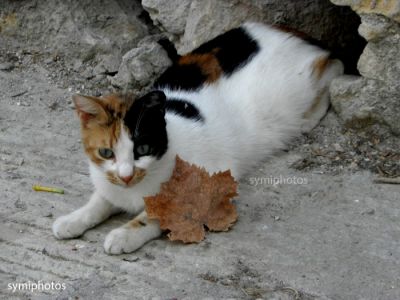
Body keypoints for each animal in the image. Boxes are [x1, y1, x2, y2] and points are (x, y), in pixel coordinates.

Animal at [51, 22, 342, 254]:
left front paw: (123, 234)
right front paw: (73, 219)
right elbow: (98, 201)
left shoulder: (204, 188)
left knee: (334, 68)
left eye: (142, 149)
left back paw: (310, 116)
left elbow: (155, 215)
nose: (126, 176)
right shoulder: (109, 184)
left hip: (302, 86)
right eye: (106, 153)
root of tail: (293, 33)